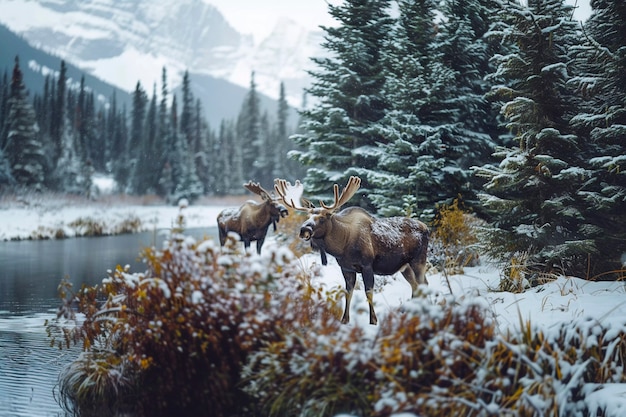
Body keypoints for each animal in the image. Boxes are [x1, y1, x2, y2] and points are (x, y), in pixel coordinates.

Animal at [274, 176, 428, 324]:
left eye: (323, 217)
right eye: (308, 216)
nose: (304, 229)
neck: (342, 248)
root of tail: (427, 228)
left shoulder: (367, 265)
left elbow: (368, 292)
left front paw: (373, 320)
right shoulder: (346, 268)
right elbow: (348, 292)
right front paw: (344, 320)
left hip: (418, 261)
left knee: (423, 284)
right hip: (405, 267)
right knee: (416, 285)